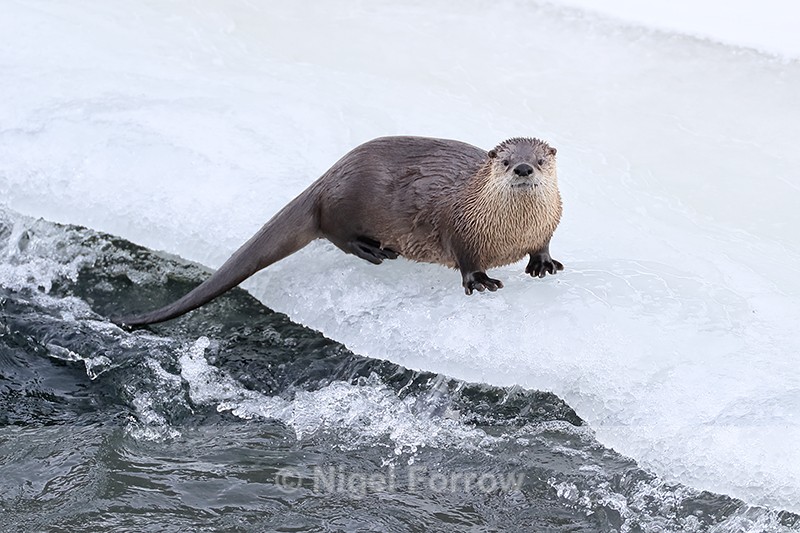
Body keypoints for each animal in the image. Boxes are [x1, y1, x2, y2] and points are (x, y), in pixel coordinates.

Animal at [117, 136, 563, 326]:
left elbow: (544, 243)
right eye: (505, 161)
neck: (512, 232)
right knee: (334, 233)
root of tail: (327, 177)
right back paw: (374, 250)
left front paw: (544, 263)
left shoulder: (549, 221)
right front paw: (481, 281)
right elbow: (467, 259)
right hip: (344, 203)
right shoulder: (461, 226)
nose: (524, 168)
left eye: (540, 160)